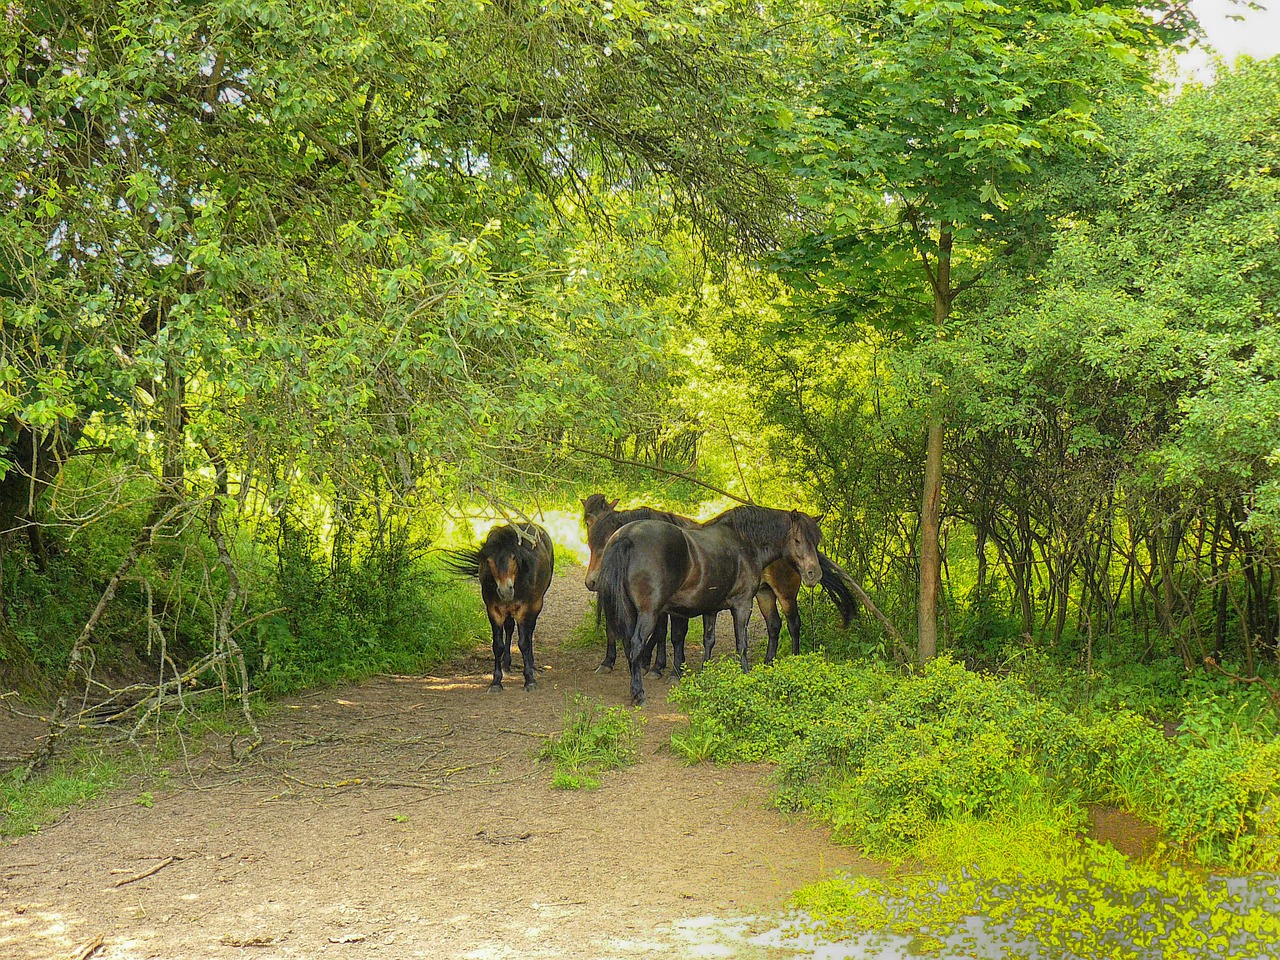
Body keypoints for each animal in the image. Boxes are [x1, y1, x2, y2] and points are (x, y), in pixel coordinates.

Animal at [445, 527, 550, 691]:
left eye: (513, 557)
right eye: (489, 560)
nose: (505, 590)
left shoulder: (524, 610)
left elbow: (524, 643)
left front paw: (529, 680)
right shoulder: (494, 611)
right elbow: (497, 645)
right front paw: (496, 682)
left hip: (536, 605)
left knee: (529, 632)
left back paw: (531, 665)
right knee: (510, 628)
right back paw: (506, 664)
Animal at [586, 496, 855, 675]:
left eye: (815, 541)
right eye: (590, 542)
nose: (813, 573)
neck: (745, 541)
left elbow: (678, 635)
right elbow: (697, 637)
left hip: (784, 593)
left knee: (793, 623)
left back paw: (794, 660)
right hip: (765, 594)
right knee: (775, 625)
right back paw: (769, 662)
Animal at [596, 504, 819, 706]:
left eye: (817, 542)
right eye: (797, 540)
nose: (813, 574)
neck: (744, 543)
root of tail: (626, 537)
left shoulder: (711, 608)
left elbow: (709, 640)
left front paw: (705, 672)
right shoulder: (742, 604)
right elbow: (741, 643)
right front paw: (745, 673)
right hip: (648, 613)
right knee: (635, 644)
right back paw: (638, 694)